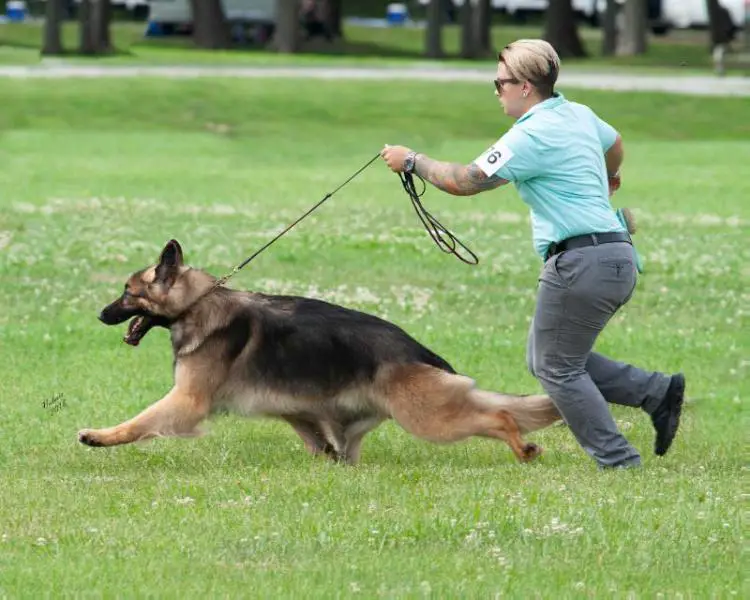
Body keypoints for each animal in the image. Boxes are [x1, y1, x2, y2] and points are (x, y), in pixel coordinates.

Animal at [81, 239, 564, 464]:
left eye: (127, 292)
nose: (101, 315)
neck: (197, 304)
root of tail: (420, 351)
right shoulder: (298, 409)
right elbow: (313, 434)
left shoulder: (186, 401)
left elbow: (139, 422)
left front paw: (98, 436)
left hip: (426, 418)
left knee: (498, 416)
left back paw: (523, 449)